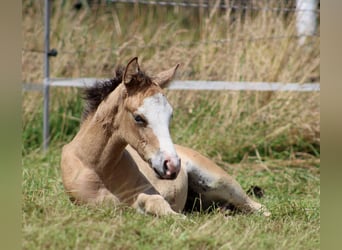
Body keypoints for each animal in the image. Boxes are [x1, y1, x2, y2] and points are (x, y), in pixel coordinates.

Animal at [60, 57, 270, 217]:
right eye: (138, 117)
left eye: (170, 115)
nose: (172, 165)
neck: (96, 166)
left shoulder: (149, 192)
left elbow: (159, 205)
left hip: (222, 183)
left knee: (259, 208)